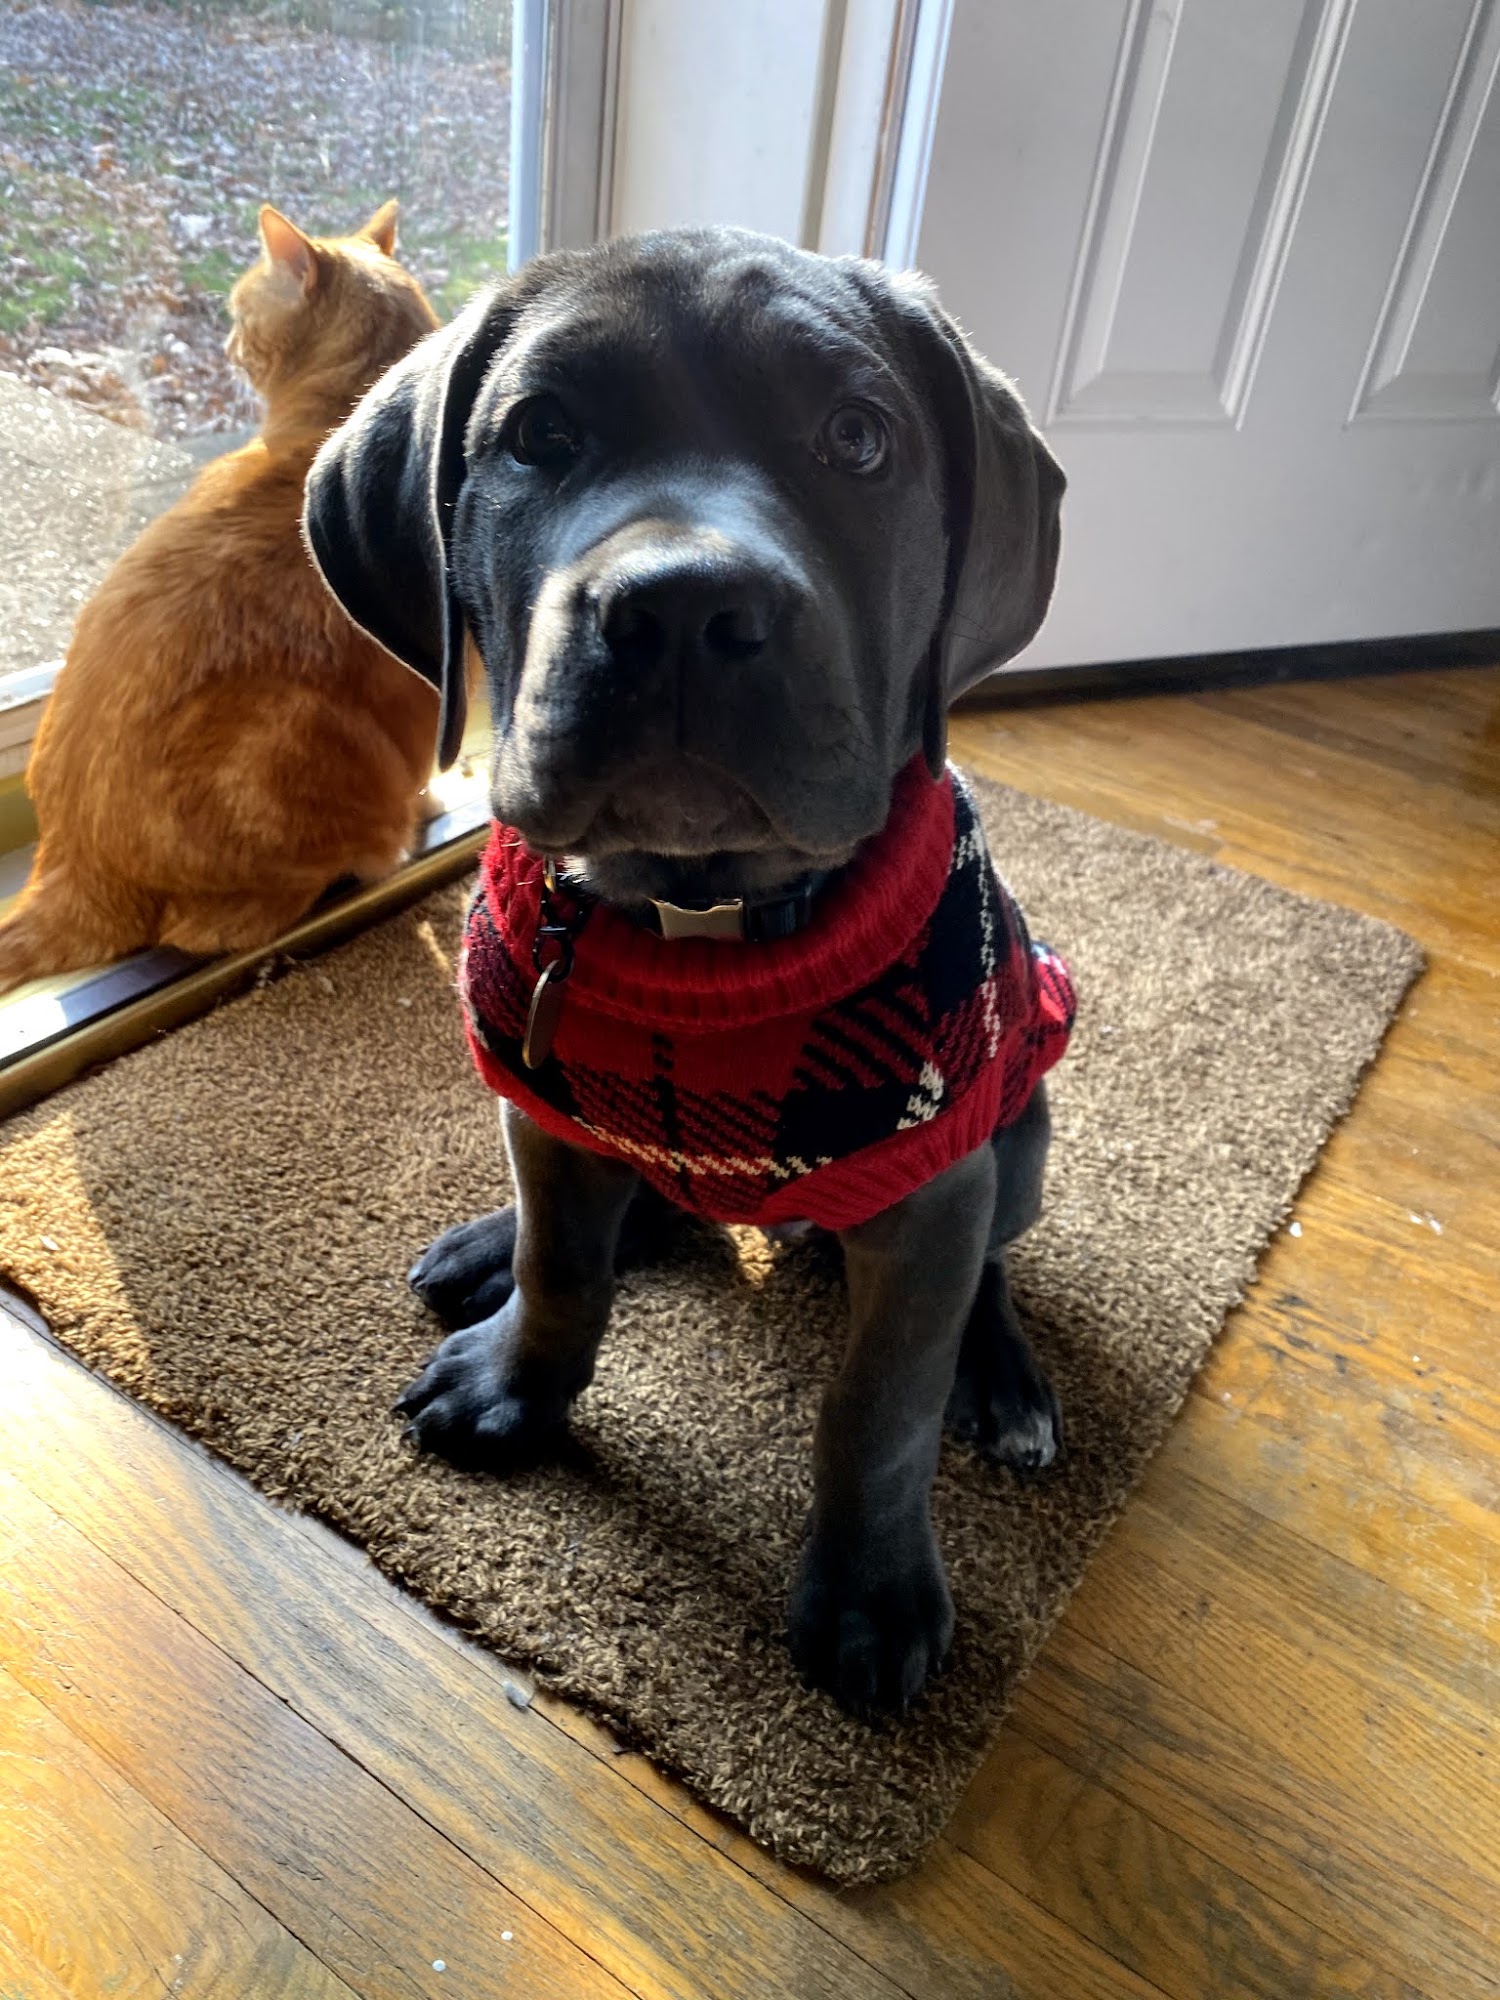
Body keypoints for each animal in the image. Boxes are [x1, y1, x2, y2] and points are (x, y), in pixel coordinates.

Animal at [303, 226, 1068, 1718]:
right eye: (541, 434)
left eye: (858, 438)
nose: (682, 605)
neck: (696, 921)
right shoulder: (538, 1100)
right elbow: (562, 1266)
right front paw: (519, 1379)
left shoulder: (930, 1188)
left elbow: (880, 1407)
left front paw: (871, 1591)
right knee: (627, 1206)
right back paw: (494, 1246)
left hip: (1019, 1126)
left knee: (988, 1270)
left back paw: (1001, 1379)